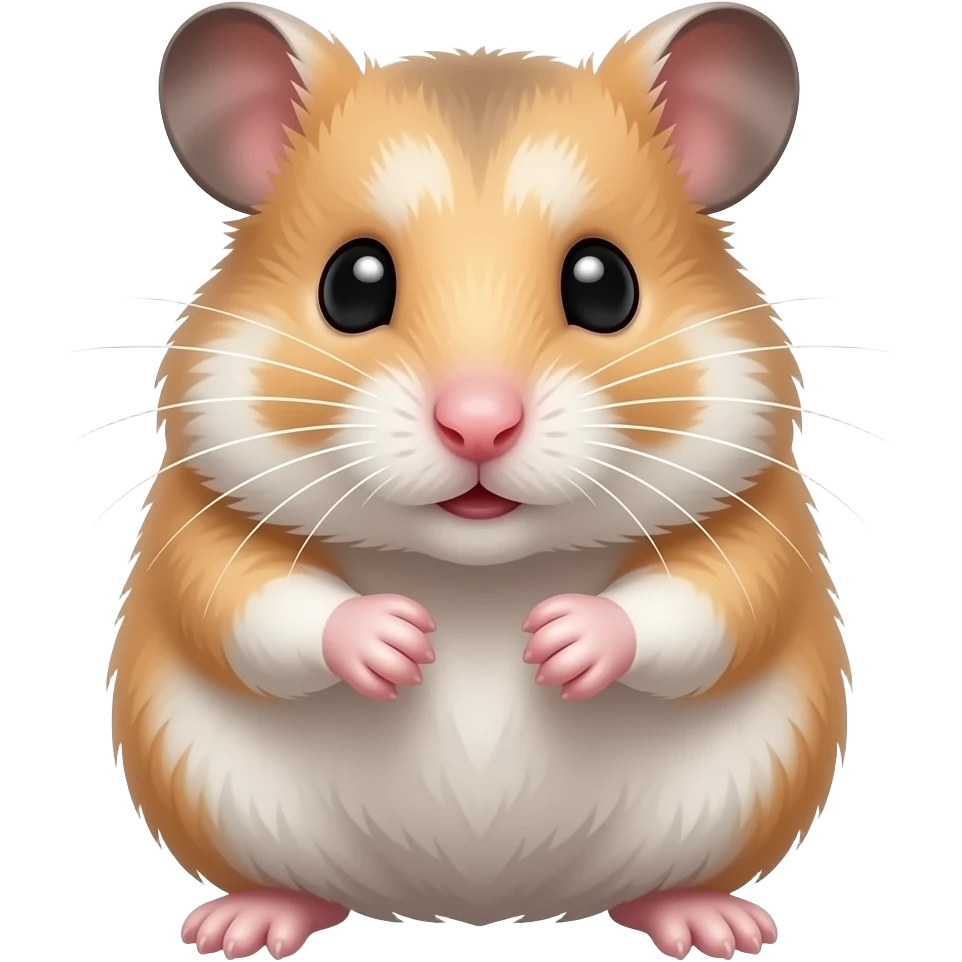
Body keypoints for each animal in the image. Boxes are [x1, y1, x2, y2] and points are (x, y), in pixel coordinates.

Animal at [108, 3, 851, 960]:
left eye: (604, 284)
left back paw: (713, 925)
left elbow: (707, 607)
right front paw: (400, 642)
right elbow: (251, 606)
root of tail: (479, 905)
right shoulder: (202, 527)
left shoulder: (755, 527)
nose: (478, 424)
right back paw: (244, 925)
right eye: (352, 284)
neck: (479, 572)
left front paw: (557, 642)